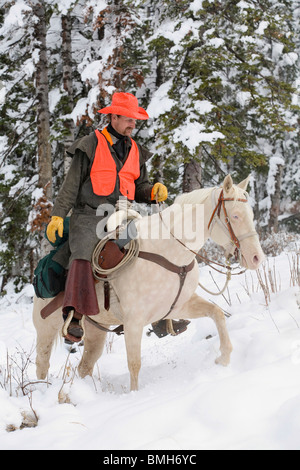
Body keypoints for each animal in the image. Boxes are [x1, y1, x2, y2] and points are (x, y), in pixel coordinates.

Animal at [33, 174, 264, 392]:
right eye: (235, 215)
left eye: (251, 215)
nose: (256, 258)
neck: (169, 251)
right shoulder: (134, 322)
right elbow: (134, 364)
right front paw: (134, 396)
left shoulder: (180, 306)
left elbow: (217, 313)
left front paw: (223, 358)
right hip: (46, 328)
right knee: (42, 364)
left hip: (97, 329)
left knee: (85, 366)